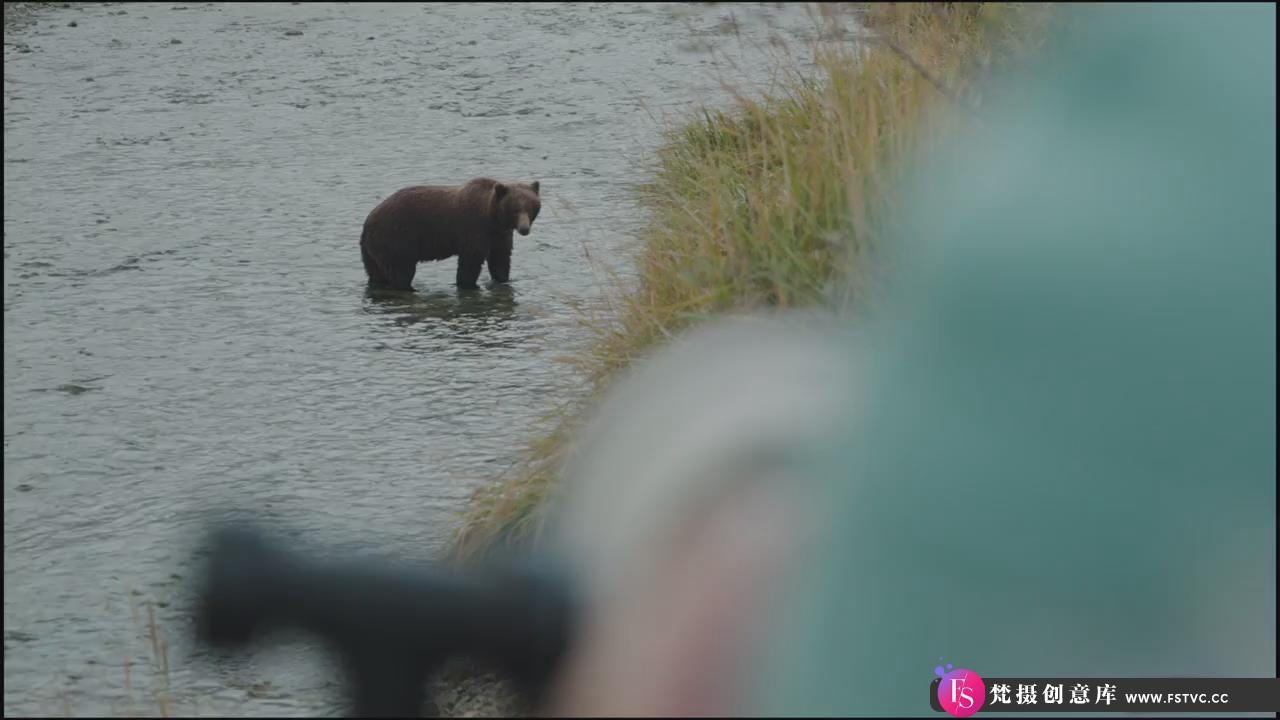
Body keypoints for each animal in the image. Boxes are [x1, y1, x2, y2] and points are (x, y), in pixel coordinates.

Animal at [360, 178, 540, 289]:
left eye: (531, 207)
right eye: (515, 209)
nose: (524, 229)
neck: (492, 218)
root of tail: (367, 221)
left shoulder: (500, 235)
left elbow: (500, 259)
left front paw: (502, 279)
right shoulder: (474, 228)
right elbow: (470, 261)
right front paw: (467, 284)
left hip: (372, 250)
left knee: (375, 272)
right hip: (396, 237)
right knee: (401, 271)